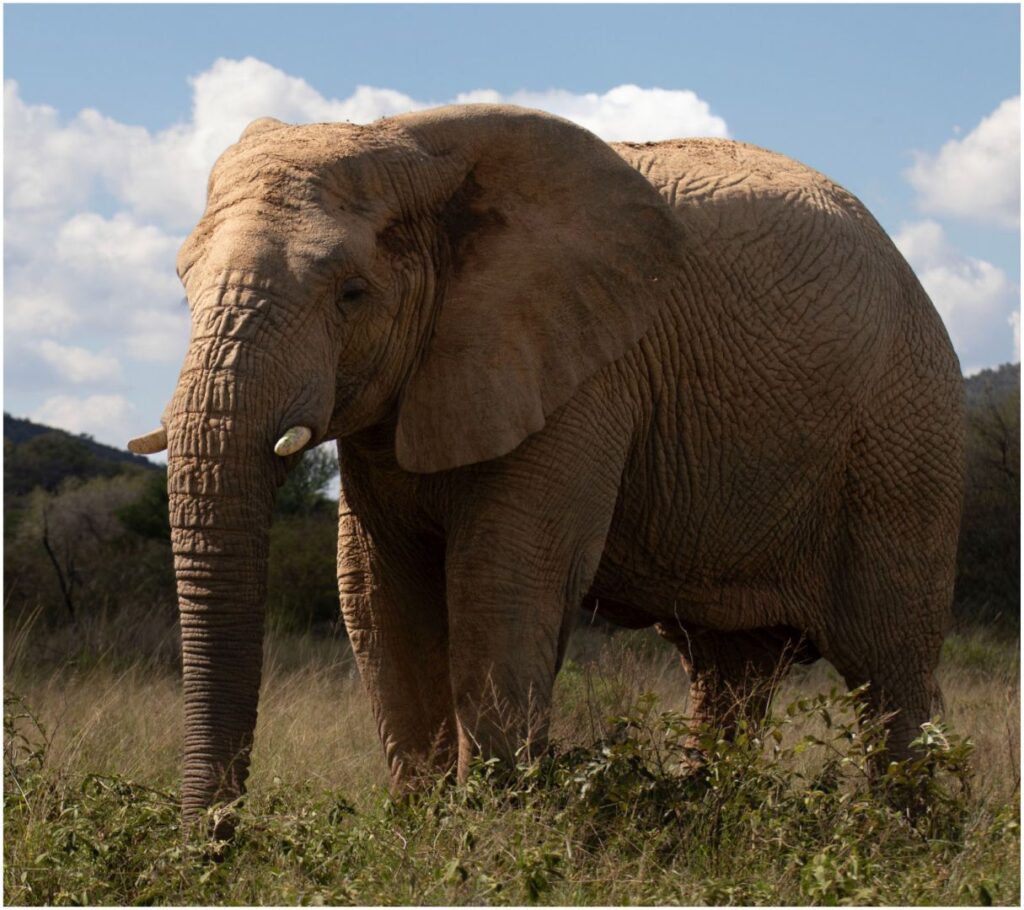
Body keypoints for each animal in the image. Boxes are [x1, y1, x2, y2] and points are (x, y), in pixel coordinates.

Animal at [128, 104, 964, 829]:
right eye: (183, 284)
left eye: (352, 294)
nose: (213, 848)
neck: (416, 144)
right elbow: (376, 593)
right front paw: (422, 833)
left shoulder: (585, 376)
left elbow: (501, 582)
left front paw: (483, 842)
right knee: (729, 673)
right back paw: (714, 823)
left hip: (904, 443)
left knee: (890, 669)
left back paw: (903, 845)